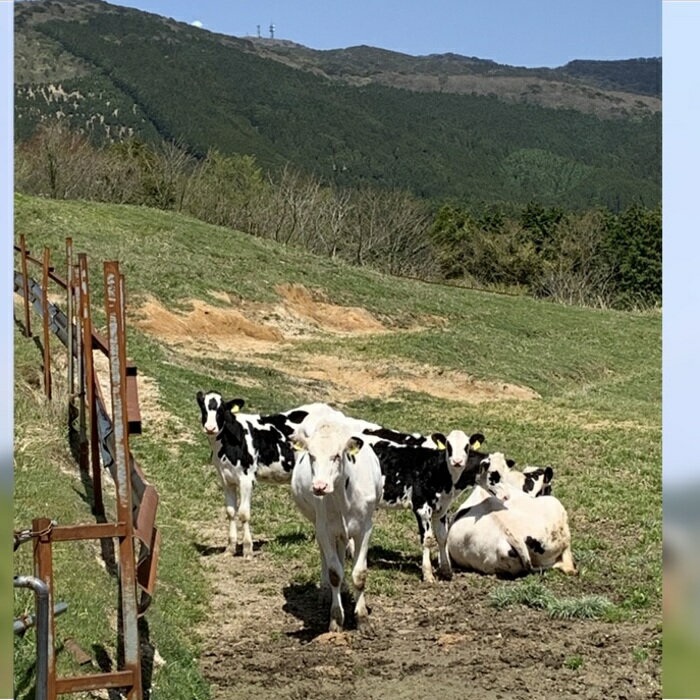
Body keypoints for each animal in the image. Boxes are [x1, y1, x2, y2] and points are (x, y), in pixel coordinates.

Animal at [196, 388, 344, 556]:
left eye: (221, 410)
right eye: (203, 408)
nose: (210, 428)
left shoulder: (246, 479)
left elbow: (244, 513)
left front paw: (247, 549)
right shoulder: (226, 479)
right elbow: (230, 512)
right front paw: (230, 548)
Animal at [292, 424, 386, 632]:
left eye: (336, 455)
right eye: (311, 456)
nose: (319, 486)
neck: (343, 497)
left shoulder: (365, 529)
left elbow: (359, 574)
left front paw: (362, 618)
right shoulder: (324, 530)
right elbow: (335, 573)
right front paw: (336, 619)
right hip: (321, 526)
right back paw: (327, 592)